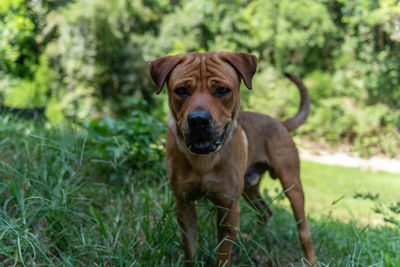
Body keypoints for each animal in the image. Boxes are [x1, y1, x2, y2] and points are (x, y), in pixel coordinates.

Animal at [148, 51, 318, 266]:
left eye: (222, 90)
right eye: (181, 91)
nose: (198, 120)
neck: (204, 161)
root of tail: (281, 123)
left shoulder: (228, 208)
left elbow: (222, 256)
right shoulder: (184, 205)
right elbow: (190, 251)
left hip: (292, 185)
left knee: (304, 230)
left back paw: (310, 259)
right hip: (249, 187)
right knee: (265, 212)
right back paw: (253, 243)